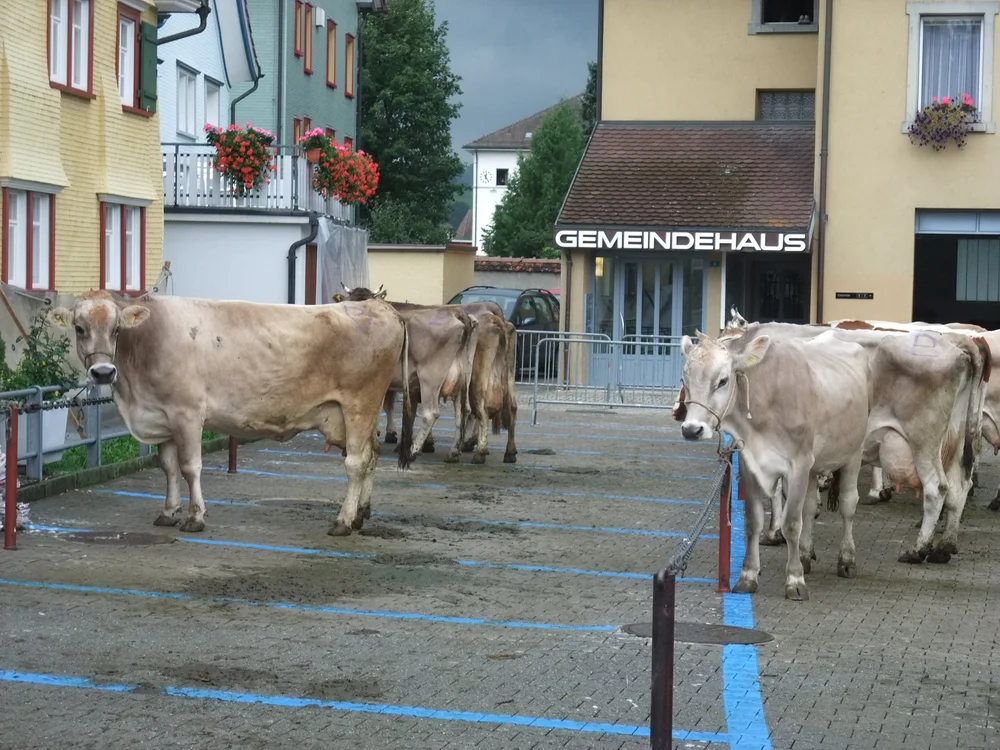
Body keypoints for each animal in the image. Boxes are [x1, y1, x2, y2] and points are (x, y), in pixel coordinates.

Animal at [49, 290, 411, 537]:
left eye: (116, 330)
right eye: (79, 328)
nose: (102, 372)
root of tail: (378, 307)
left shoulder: (187, 413)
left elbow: (190, 467)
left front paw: (195, 517)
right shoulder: (161, 416)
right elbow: (167, 468)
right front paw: (168, 512)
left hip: (359, 405)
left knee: (356, 463)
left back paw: (343, 521)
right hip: (356, 416)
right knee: (371, 456)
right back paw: (361, 513)